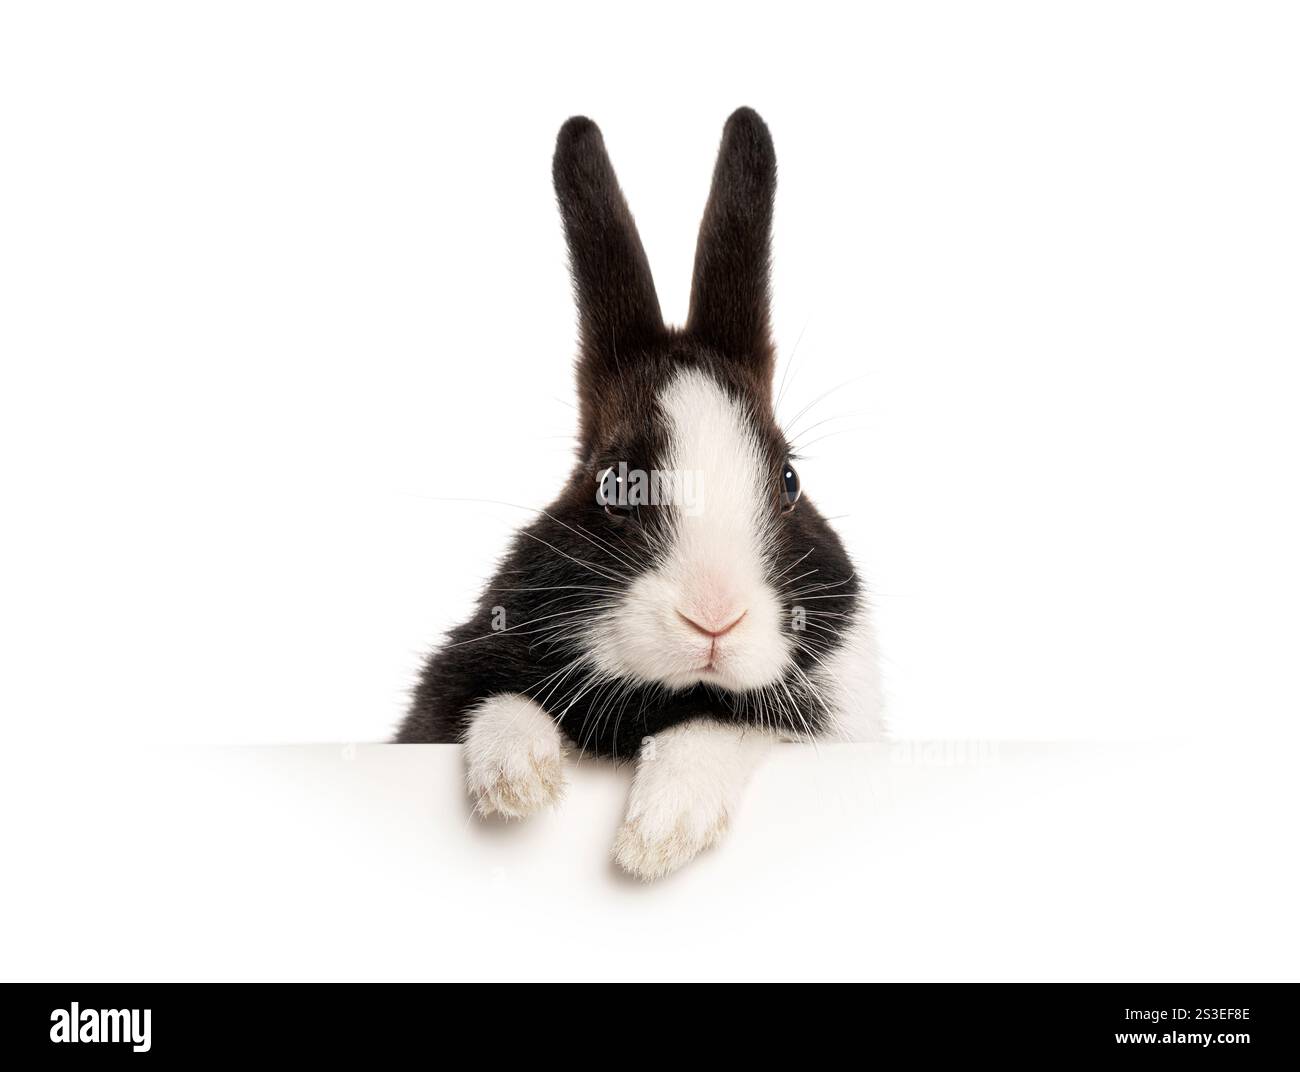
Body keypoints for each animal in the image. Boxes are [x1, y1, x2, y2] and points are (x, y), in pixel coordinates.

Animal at [396, 108, 883, 879]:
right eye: (615, 484)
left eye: (789, 480)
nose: (715, 618)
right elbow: (498, 702)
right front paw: (518, 778)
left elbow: (725, 725)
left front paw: (659, 832)